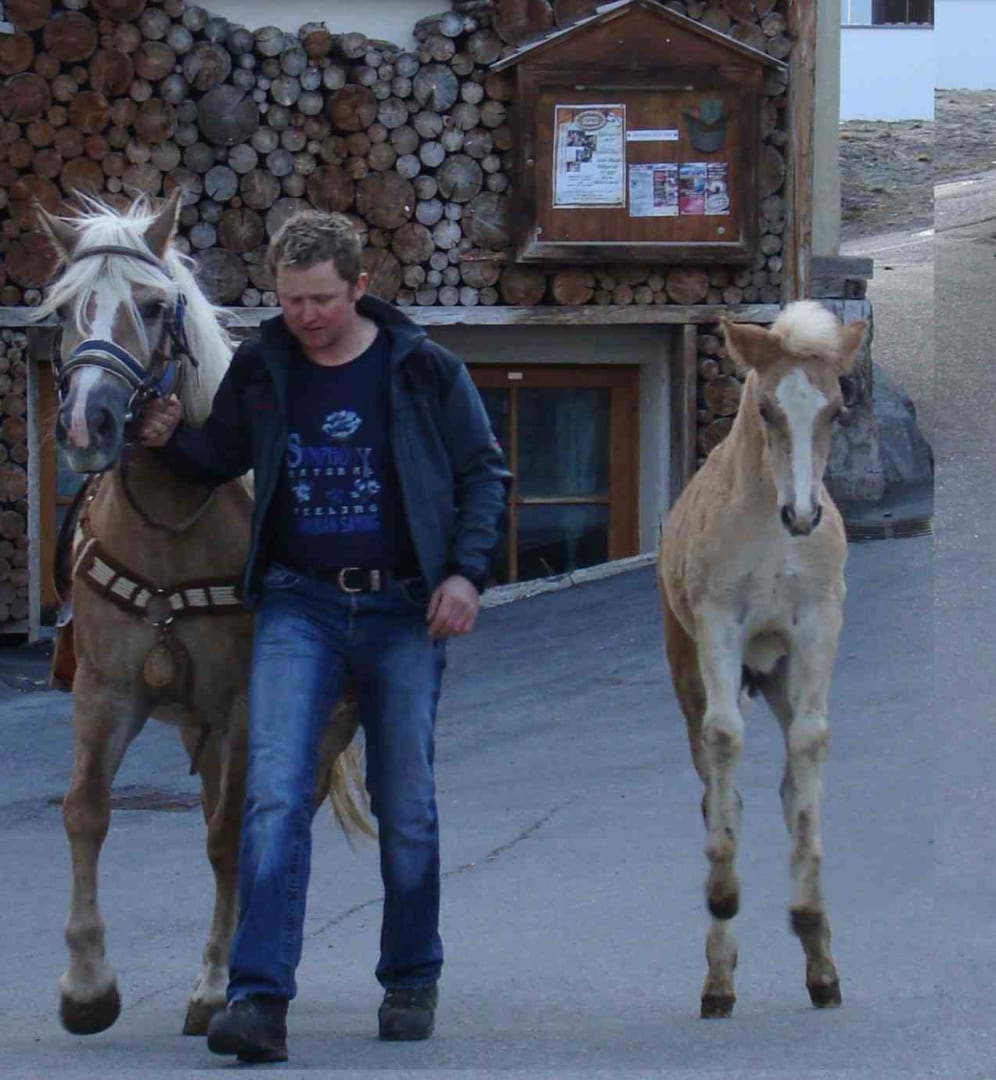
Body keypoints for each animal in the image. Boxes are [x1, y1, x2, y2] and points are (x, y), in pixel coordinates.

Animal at [34, 191, 368, 1038]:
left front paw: (218, 985)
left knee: (275, 818)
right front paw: (87, 984)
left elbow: (228, 838)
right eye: (63, 308)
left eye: (153, 307)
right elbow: (86, 812)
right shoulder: (107, 690)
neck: (171, 526)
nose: (86, 425)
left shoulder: (247, 702)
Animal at [657, 300, 866, 1019]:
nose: (802, 514)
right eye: (769, 410)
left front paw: (812, 929)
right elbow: (724, 739)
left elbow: (810, 745)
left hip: (776, 671)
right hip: (689, 664)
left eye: (836, 409)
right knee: (717, 781)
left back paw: (820, 963)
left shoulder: (817, 625)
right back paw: (718, 977)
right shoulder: (719, 624)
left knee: (784, 780)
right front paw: (723, 894)